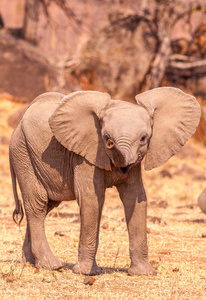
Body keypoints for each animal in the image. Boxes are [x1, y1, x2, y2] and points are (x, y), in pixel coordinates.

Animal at [9, 86, 200, 274]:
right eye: (106, 137)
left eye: (143, 138)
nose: (111, 144)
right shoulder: (85, 155)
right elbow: (92, 199)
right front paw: (87, 272)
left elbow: (135, 198)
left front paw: (144, 273)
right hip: (23, 153)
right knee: (37, 204)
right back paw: (52, 265)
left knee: (48, 205)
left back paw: (31, 262)